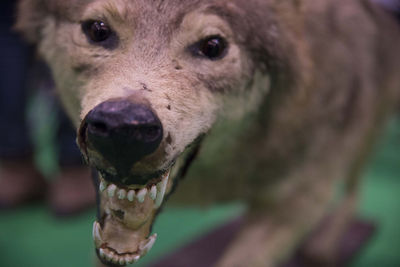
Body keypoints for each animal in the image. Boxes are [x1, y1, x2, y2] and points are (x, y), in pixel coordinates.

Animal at [15, 0, 400, 266]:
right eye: (97, 30)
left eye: (213, 46)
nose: (124, 128)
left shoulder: (303, 200)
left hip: (361, 142)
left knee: (354, 191)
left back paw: (325, 247)